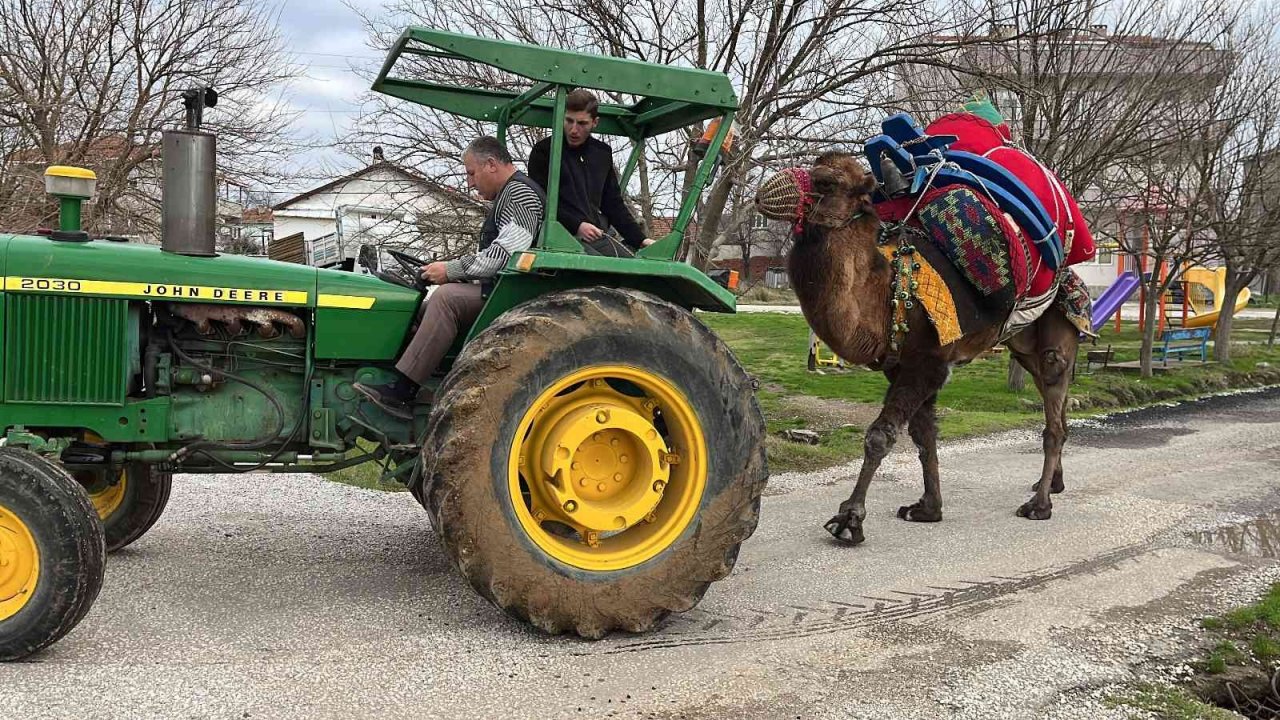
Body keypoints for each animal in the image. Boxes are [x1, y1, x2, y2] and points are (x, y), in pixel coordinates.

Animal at [762, 152, 1085, 543]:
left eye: (826, 182)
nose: (764, 193)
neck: (884, 289)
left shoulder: (929, 362)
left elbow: (881, 436)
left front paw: (850, 518)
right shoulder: (900, 364)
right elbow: (923, 435)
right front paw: (928, 510)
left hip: (1056, 339)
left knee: (1054, 413)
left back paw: (1039, 505)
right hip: (1023, 347)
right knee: (1058, 412)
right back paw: (1051, 484)